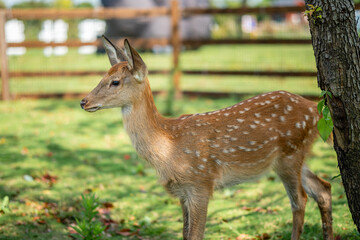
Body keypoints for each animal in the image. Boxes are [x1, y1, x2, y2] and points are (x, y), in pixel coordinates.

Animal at [80, 36, 334, 240]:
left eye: (115, 82)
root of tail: (315, 110)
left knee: (299, 200)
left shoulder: (201, 183)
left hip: (289, 154)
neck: (169, 145)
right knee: (323, 188)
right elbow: (185, 234)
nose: (84, 101)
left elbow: (196, 235)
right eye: (102, 77)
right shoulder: (182, 192)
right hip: (296, 156)